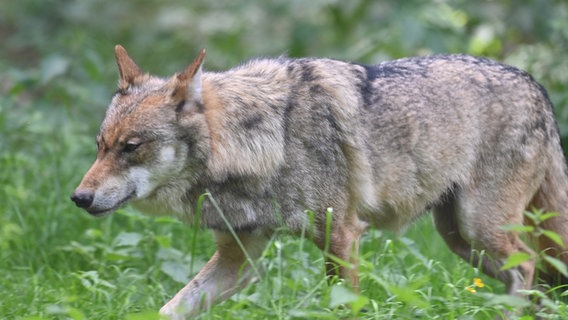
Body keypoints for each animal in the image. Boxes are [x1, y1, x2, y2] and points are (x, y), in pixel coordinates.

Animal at [71, 46, 568, 318]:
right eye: (100, 146)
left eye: (130, 147)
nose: (79, 197)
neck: (265, 140)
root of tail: (537, 85)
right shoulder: (239, 261)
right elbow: (168, 309)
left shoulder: (341, 235)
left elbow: (343, 304)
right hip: (462, 240)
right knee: (541, 278)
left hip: (481, 229)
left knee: (528, 267)